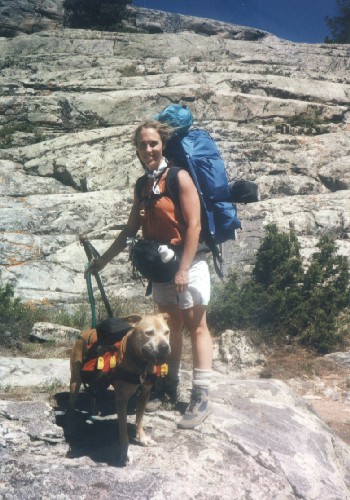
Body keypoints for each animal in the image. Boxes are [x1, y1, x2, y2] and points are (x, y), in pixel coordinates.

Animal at [66, 312, 171, 464]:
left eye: (167, 332)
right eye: (149, 333)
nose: (165, 347)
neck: (140, 362)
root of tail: (85, 332)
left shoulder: (144, 395)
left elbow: (139, 420)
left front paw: (143, 438)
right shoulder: (122, 400)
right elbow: (123, 429)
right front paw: (125, 452)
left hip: (99, 381)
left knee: (92, 392)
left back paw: (94, 410)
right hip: (75, 380)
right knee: (71, 404)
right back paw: (70, 426)